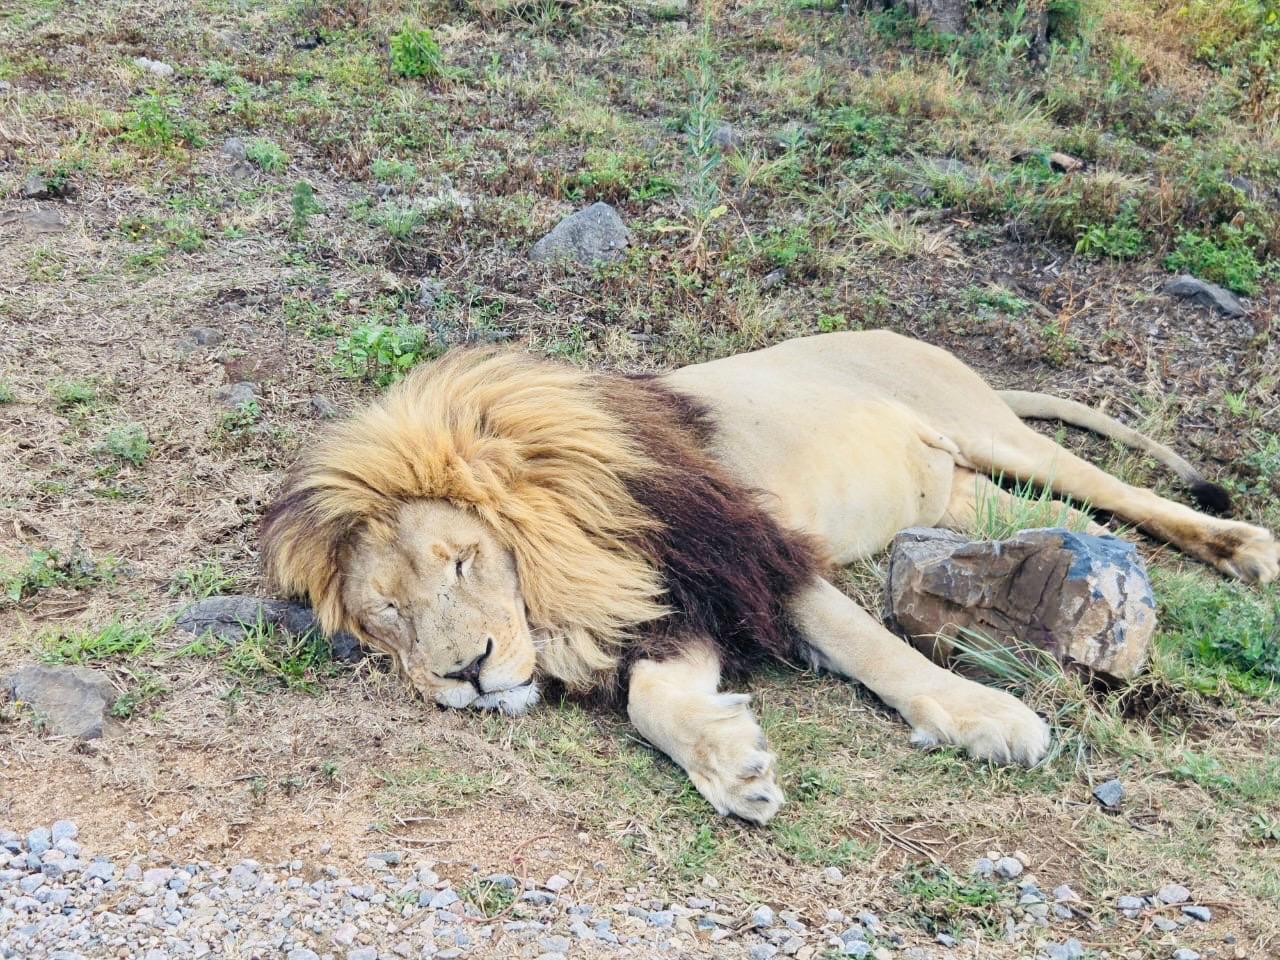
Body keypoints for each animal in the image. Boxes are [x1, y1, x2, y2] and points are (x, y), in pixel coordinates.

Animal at [261, 331, 1278, 823]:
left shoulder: (746, 555)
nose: (465, 674)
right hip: (969, 499)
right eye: (386, 617)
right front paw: (732, 764)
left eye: (464, 559)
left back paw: (1246, 551)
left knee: (1126, 494)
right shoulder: (668, 608)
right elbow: (656, 703)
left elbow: (876, 649)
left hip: (999, 433)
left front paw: (989, 717)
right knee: (1084, 525)